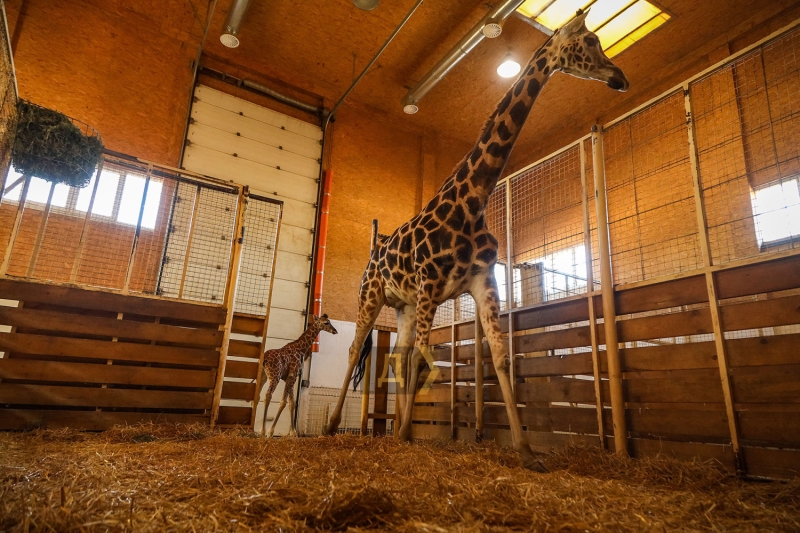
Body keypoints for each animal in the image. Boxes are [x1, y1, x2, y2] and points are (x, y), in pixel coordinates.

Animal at [322, 7, 628, 466]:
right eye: (590, 41)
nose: (619, 76)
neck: (473, 202)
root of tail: (374, 250)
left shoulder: (483, 281)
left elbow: (499, 358)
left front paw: (526, 451)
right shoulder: (430, 284)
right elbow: (424, 359)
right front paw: (406, 433)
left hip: (403, 306)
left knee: (397, 354)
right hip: (371, 295)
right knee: (359, 348)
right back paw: (330, 426)